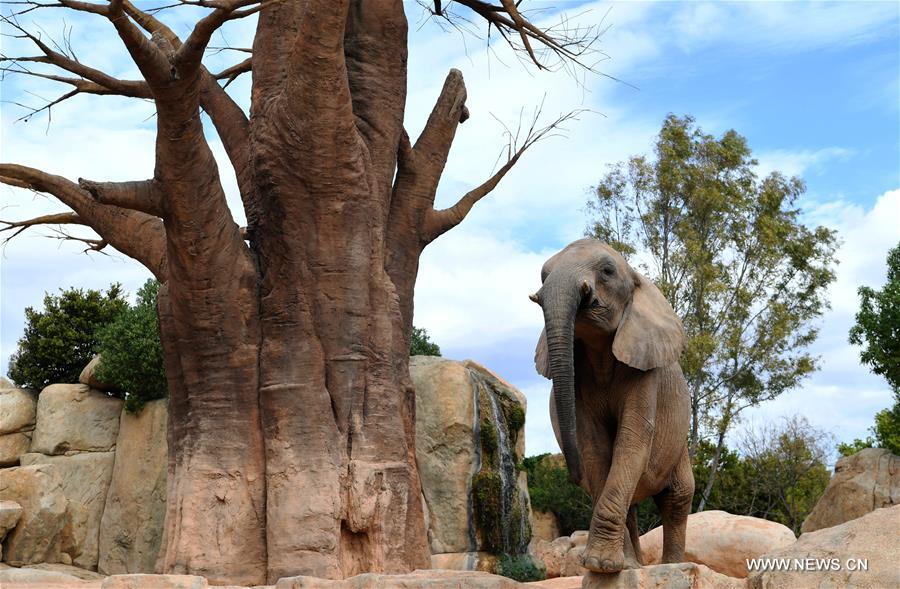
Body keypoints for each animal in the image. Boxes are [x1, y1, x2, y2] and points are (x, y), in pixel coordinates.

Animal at [532, 237, 692, 572]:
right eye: (543, 275)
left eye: (607, 271)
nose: (572, 475)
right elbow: (596, 448)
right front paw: (609, 567)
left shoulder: (645, 372)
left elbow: (631, 441)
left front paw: (600, 565)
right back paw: (635, 566)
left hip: (679, 442)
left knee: (678, 496)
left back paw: (669, 567)